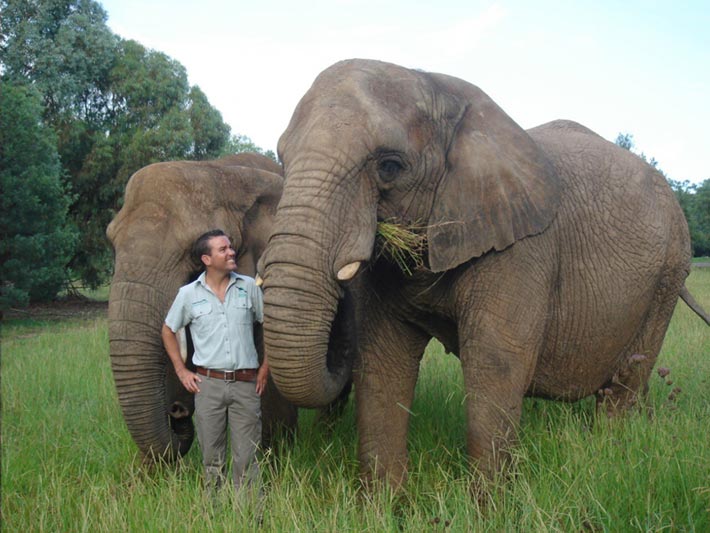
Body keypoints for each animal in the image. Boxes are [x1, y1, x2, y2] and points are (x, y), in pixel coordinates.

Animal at [258, 58, 708, 486]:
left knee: (625, 382)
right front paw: (383, 502)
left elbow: (495, 364)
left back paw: (613, 451)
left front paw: (488, 504)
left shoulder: (520, 247)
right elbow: (382, 361)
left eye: (389, 166)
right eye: (282, 158)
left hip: (669, 270)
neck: (440, 88)